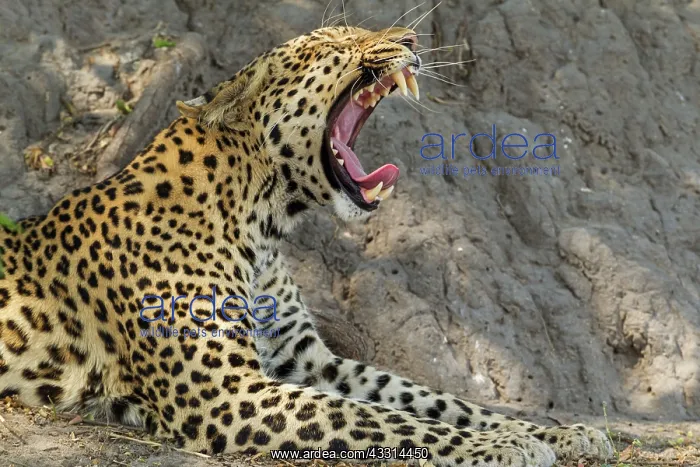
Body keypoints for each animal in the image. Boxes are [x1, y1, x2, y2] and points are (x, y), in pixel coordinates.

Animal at [0, 26, 613, 466]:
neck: (261, 226)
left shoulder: (311, 361)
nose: (413, 41)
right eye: (333, 44)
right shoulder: (228, 392)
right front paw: (508, 446)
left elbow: (431, 399)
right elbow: (379, 419)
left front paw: (562, 433)